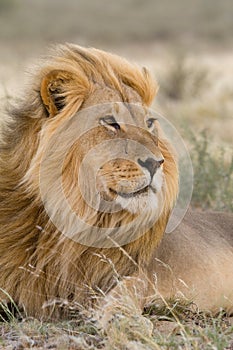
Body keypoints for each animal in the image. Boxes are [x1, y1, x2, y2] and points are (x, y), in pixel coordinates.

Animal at [0, 43, 232, 320]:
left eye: (149, 123)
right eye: (111, 123)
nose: (157, 163)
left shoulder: (128, 274)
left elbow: (122, 299)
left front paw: (128, 322)